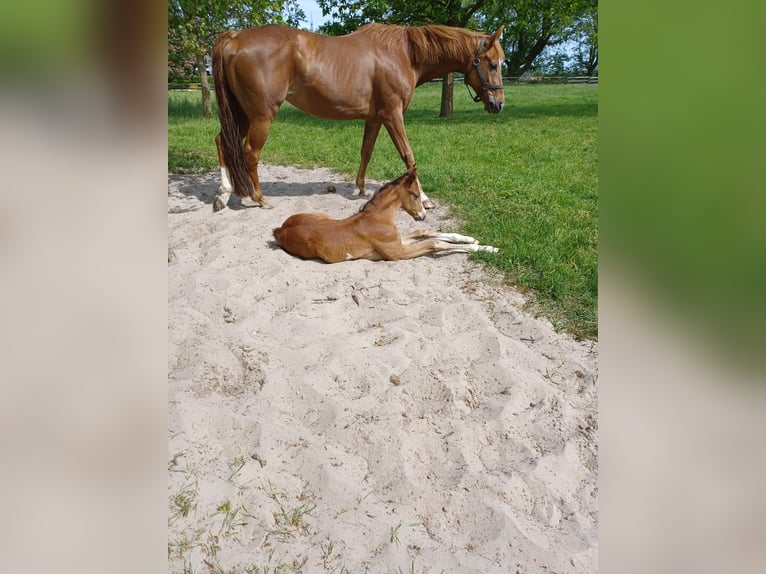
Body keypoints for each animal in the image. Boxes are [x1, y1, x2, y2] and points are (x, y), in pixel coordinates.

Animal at [213, 22, 508, 214]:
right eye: (493, 64)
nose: (498, 104)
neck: (403, 54)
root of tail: (235, 38)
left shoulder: (375, 118)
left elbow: (366, 151)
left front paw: (361, 189)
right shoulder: (392, 114)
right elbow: (408, 156)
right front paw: (424, 198)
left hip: (241, 114)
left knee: (222, 141)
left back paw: (225, 194)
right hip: (261, 115)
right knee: (250, 152)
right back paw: (258, 198)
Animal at [272, 166, 500, 266]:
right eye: (416, 195)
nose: (423, 215)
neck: (377, 218)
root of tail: (280, 229)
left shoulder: (399, 241)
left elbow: (425, 233)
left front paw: (470, 239)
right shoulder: (398, 252)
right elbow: (434, 244)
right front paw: (487, 248)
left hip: (323, 215)